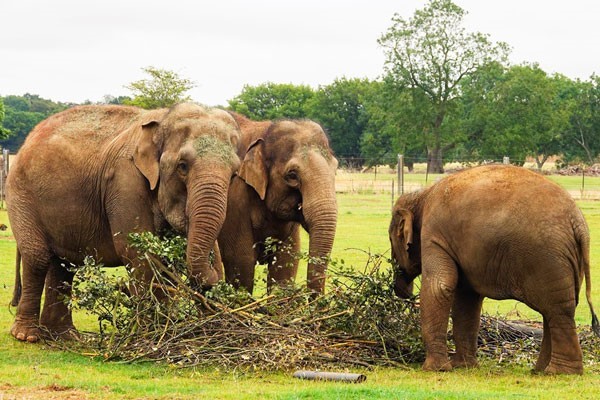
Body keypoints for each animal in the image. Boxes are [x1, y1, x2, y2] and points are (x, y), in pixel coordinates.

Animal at [6, 101, 241, 342]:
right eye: (182, 166)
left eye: (234, 174)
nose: (215, 278)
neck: (163, 117)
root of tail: (28, 139)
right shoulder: (124, 180)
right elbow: (138, 253)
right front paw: (153, 334)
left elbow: (164, 260)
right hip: (20, 193)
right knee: (38, 257)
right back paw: (27, 335)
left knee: (64, 264)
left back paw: (64, 336)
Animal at [217, 111, 340, 294]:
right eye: (292, 175)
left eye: (335, 169)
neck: (264, 131)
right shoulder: (234, 198)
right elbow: (241, 263)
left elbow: (285, 265)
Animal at [390, 165, 600, 376]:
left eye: (391, 240)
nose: (402, 291)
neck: (422, 195)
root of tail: (579, 223)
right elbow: (467, 297)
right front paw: (463, 366)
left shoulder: (433, 234)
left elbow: (439, 287)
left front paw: (436, 369)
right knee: (556, 309)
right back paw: (541, 370)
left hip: (548, 258)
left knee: (558, 310)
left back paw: (559, 372)